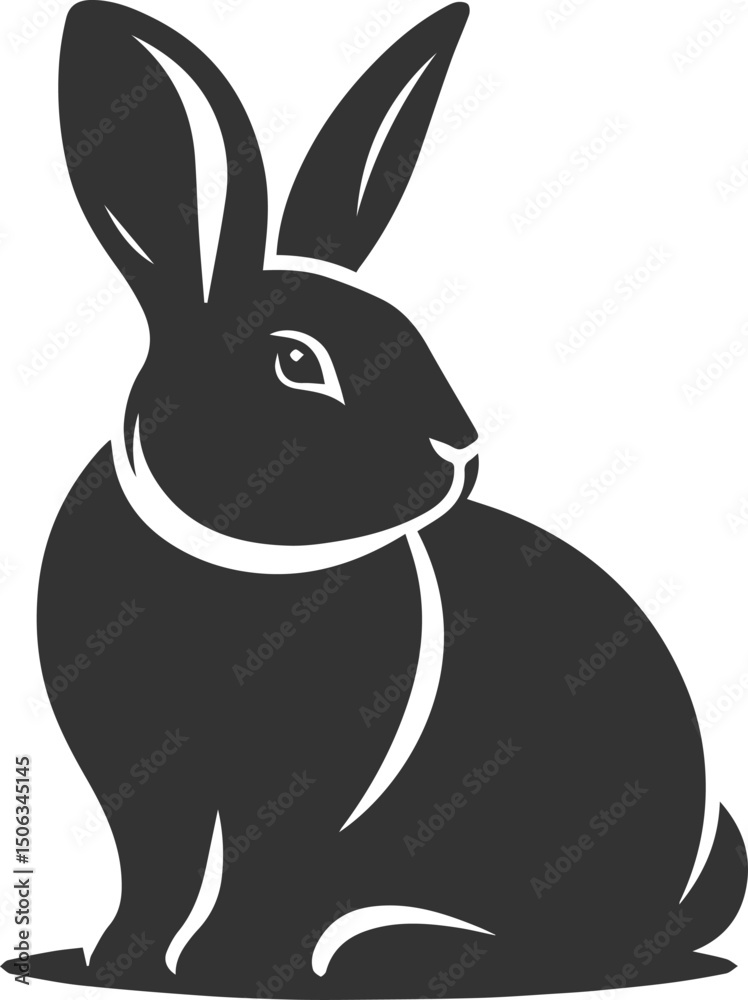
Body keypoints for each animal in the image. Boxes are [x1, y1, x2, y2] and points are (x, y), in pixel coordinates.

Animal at [4, 1, 745, 996]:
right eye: (296, 361)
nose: (461, 449)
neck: (232, 564)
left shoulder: (308, 785)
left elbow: (259, 870)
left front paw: (241, 970)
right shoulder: (142, 781)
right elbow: (155, 868)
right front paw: (122, 963)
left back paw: (398, 950)